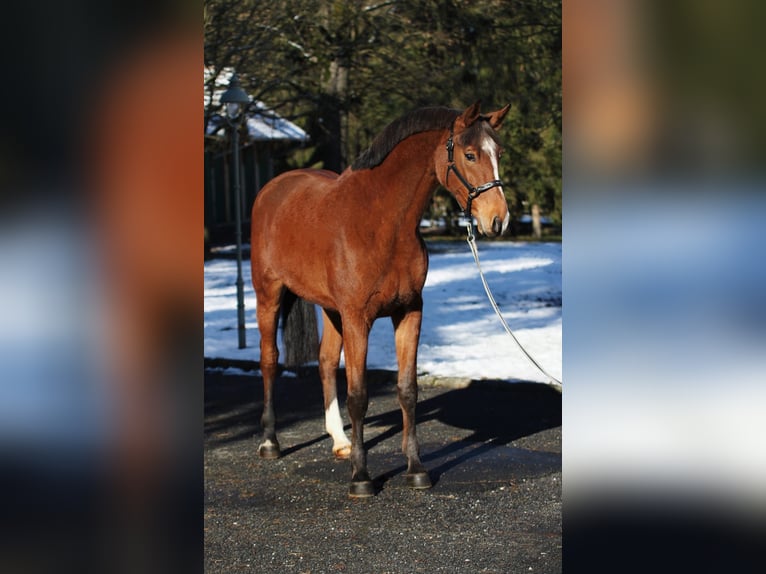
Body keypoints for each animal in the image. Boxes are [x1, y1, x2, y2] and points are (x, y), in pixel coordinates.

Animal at [250, 101, 510, 498]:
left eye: (499, 153)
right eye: (470, 154)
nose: (498, 220)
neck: (384, 223)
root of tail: (273, 188)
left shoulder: (409, 312)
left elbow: (407, 389)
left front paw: (416, 469)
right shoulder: (359, 318)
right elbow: (358, 395)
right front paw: (361, 477)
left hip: (331, 310)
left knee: (326, 362)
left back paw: (340, 441)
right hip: (269, 295)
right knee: (269, 360)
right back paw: (270, 442)